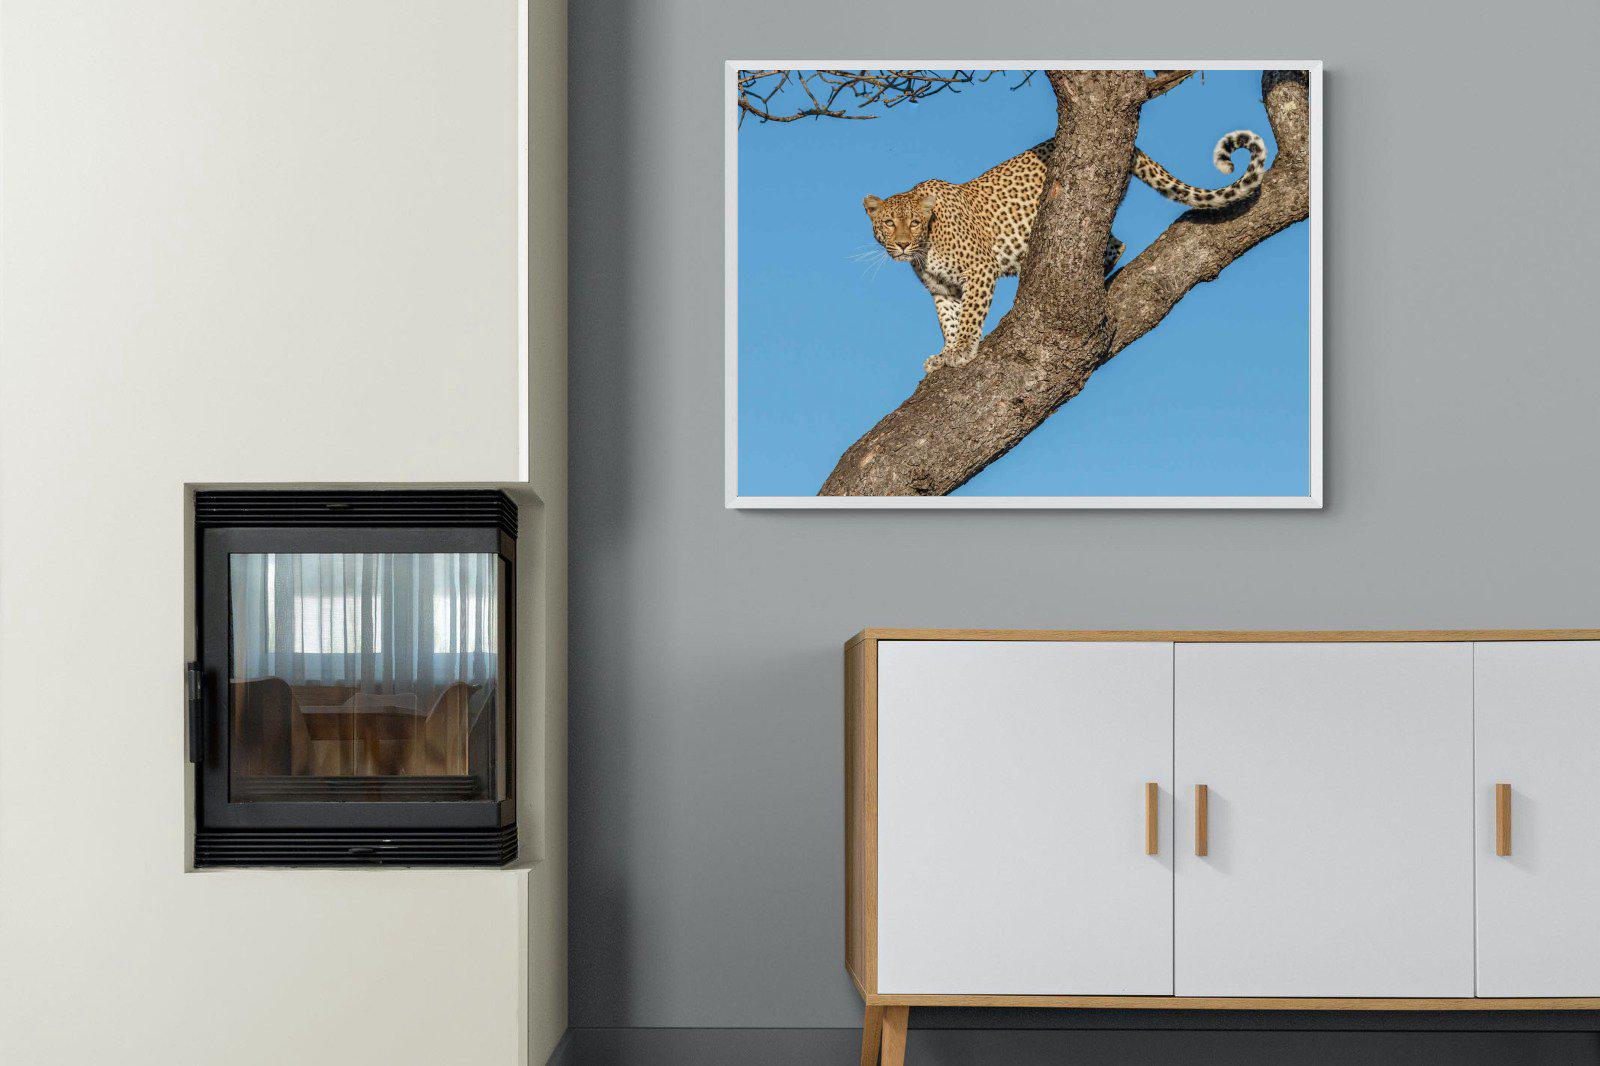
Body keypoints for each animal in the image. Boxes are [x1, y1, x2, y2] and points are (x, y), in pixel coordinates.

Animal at [863, 130, 1266, 373]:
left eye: (915, 222)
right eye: (889, 223)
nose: (901, 243)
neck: (925, 248)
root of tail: (1131, 146)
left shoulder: (980, 270)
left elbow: (970, 318)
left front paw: (962, 350)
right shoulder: (942, 289)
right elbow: (948, 319)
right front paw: (944, 354)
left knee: (1112, 244)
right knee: (1116, 243)